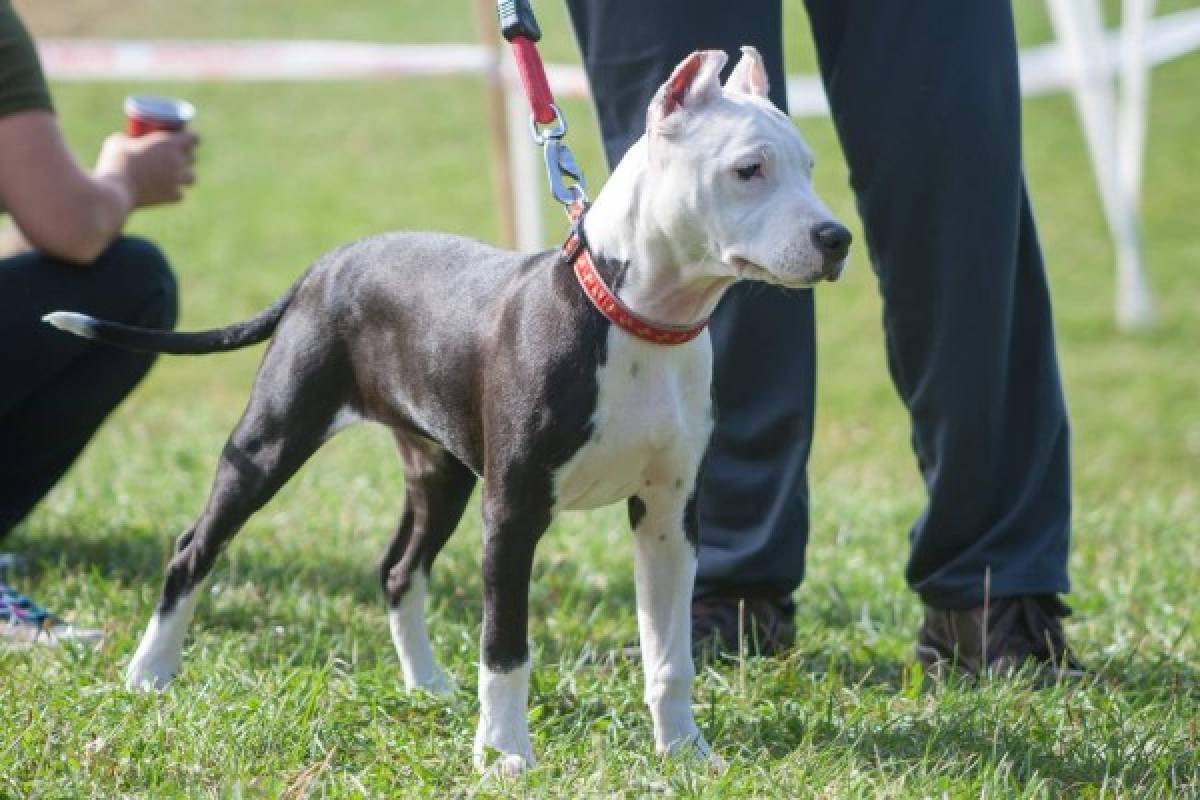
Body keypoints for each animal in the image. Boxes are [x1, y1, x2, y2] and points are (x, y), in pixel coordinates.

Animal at [46, 47, 849, 772]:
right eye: (748, 170)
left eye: (811, 166)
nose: (836, 238)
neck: (633, 320)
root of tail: (322, 269)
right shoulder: (515, 512)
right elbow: (506, 648)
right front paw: (503, 755)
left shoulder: (669, 517)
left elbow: (670, 654)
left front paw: (685, 752)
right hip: (271, 444)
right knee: (194, 548)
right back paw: (149, 673)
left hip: (440, 472)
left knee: (398, 570)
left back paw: (426, 685)